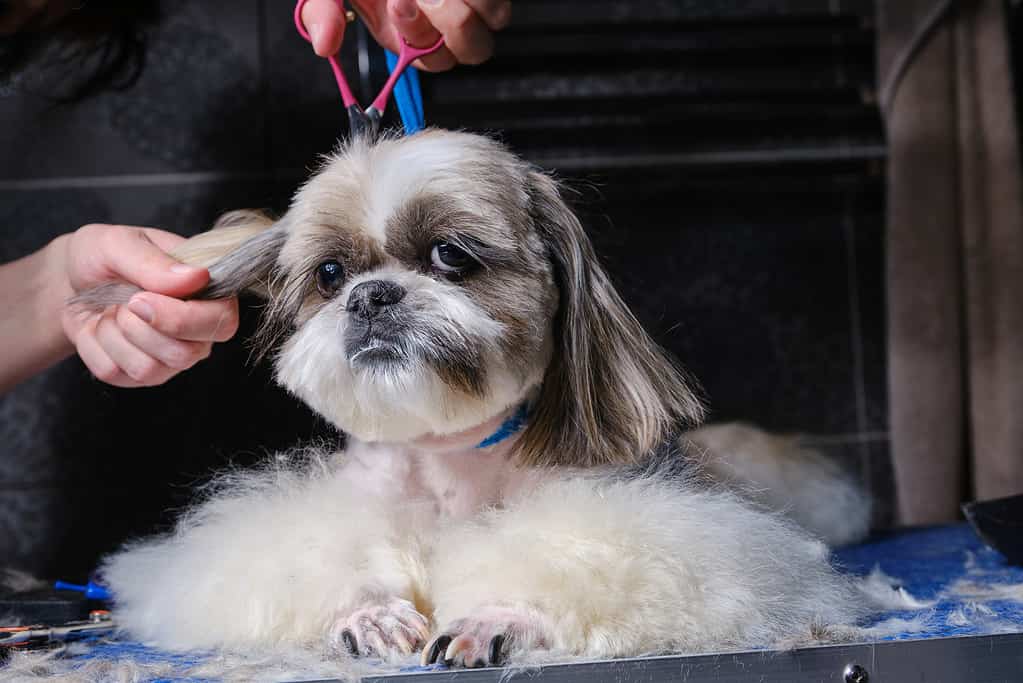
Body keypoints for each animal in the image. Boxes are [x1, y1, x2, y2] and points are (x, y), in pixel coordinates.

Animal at [87, 127, 875, 666]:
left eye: (450, 255)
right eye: (330, 273)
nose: (371, 295)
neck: (446, 454)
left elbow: (562, 558)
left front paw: (492, 615)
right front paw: (371, 612)